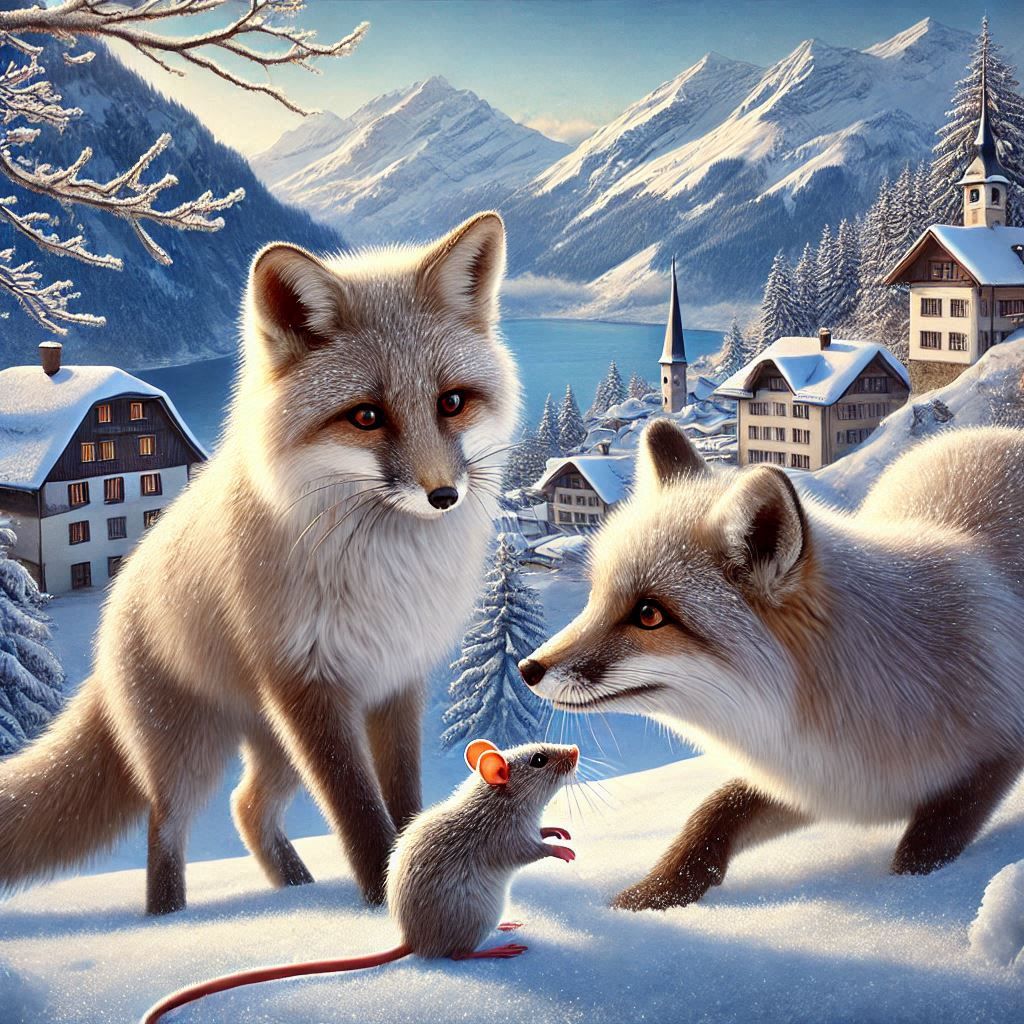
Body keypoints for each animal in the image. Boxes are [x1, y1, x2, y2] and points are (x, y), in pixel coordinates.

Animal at [0, 211, 520, 915]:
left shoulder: (395, 682)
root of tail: (113, 612)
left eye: (452, 403)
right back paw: (171, 918)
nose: (444, 496)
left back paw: (296, 888)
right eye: (367, 416)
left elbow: (403, 802)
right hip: (191, 751)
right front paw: (384, 908)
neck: (385, 574)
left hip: (273, 746)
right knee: (166, 829)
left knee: (246, 809)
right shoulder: (309, 687)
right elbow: (360, 816)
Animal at [520, 418, 1024, 912]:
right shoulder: (813, 782)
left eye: (648, 614)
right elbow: (714, 813)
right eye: (596, 596)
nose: (528, 669)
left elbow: (921, 853)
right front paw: (652, 897)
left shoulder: (992, 758)